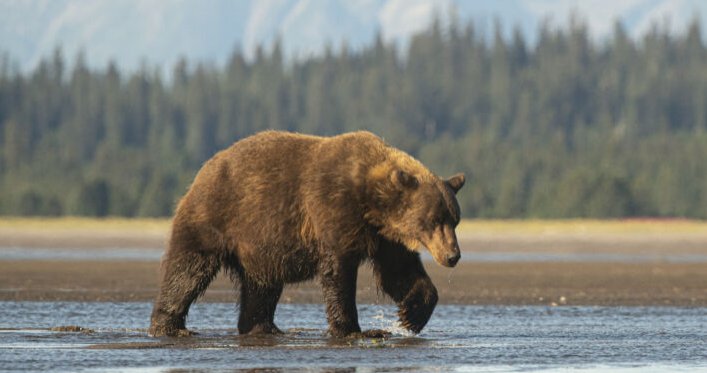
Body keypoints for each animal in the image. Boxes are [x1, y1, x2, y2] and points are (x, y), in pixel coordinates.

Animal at [148, 131, 464, 338]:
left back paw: (263, 327)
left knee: (261, 286)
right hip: (216, 217)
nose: (453, 255)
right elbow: (338, 273)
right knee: (187, 270)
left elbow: (398, 272)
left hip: (260, 246)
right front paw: (355, 330)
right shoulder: (333, 209)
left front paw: (411, 315)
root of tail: (204, 169)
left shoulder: (384, 236)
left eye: (455, 219)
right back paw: (170, 326)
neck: (371, 201)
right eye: (434, 219)